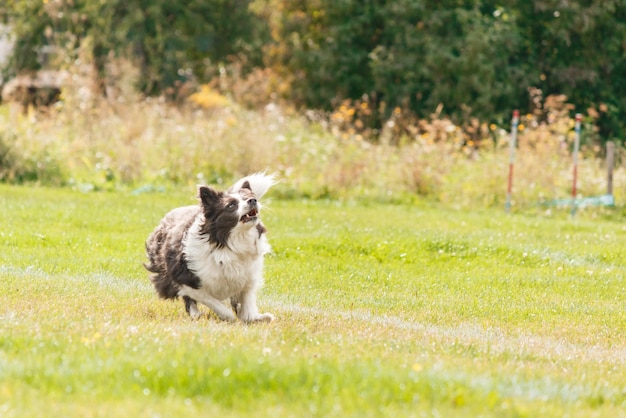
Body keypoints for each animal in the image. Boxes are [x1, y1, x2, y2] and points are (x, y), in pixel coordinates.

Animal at [146, 173, 276, 324]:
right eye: (231, 205)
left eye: (248, 197)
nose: (253, 200)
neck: (228, 243)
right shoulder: (185, 279)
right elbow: (211, 301)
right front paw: (229, 317)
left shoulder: (248, 276)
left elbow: (247, 300)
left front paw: (254, 317)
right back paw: (195, 314)